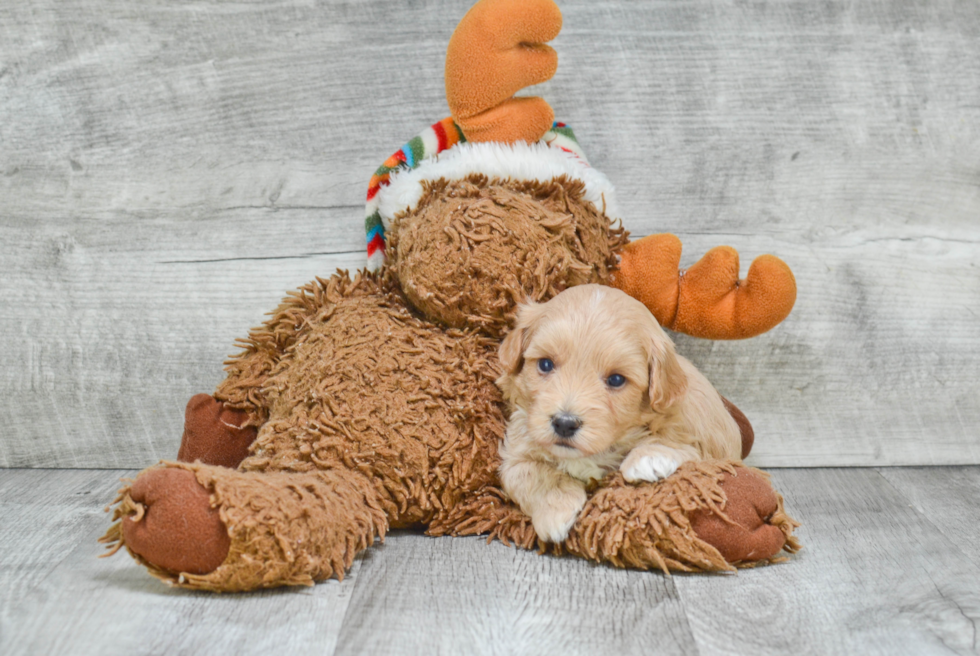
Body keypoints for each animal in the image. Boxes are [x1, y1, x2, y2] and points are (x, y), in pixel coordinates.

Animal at [498, 284, 744, 540]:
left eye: (616, 379)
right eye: (545, 364)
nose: (564, 423)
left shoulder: (698, 440)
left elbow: (685, 448)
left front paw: (647, 457)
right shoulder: (515, 448)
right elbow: (526, 472)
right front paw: (556, 511)